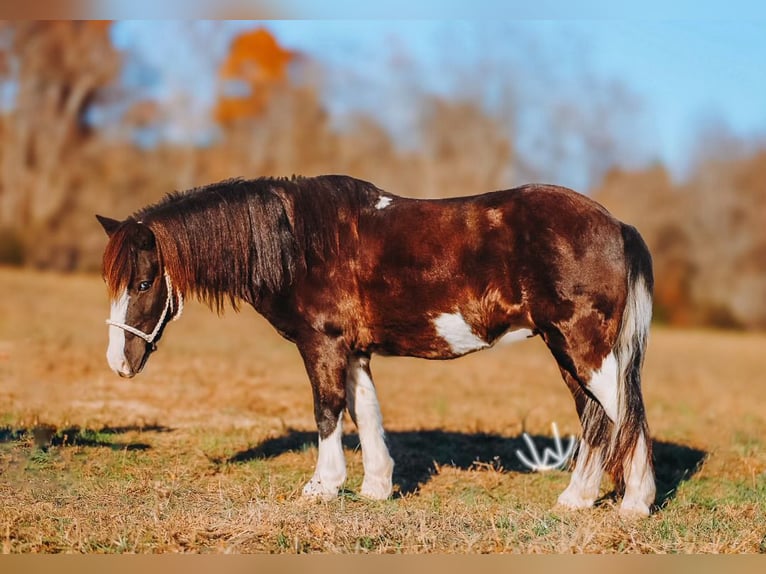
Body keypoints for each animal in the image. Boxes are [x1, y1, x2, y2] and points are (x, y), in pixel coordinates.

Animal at [97, 174, 656, 515]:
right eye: (112, 283)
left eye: (143, 284)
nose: (118, 363)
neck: (300, 243)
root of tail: (616, 225)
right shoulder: (354, 350)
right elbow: (365, 410)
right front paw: (376, 488)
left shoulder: (322, 344)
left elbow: (327, 410)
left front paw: (322, 487)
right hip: (572, 351)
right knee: (605, 418)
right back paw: (592, 500)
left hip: (582, 347)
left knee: (620, 411)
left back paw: (620, 502)